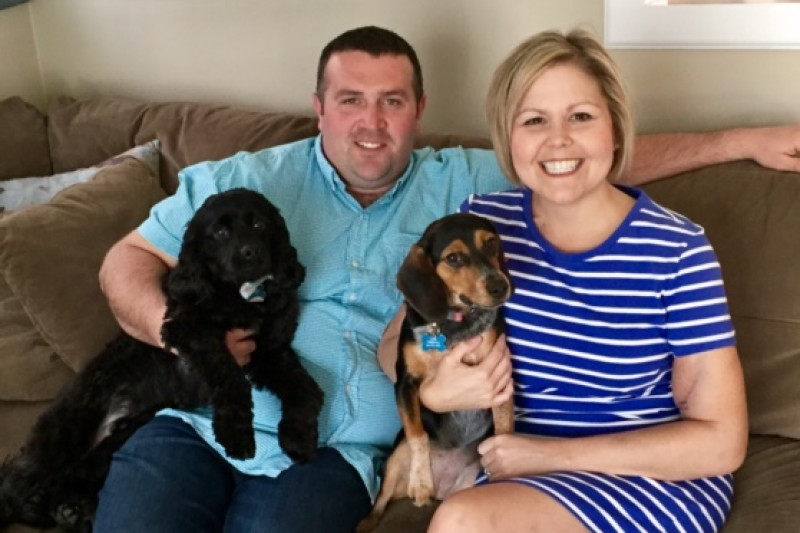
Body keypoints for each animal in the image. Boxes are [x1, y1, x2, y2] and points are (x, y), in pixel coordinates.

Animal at [0, 188, 324, 533]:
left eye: (260, 224)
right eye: (220, 233)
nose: (251, 252)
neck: (239, 298)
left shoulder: (269, 352)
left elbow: (305, 389)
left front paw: (299, 437)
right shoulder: (188, 329)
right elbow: (231, 377)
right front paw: (235, 432)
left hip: (117, 440)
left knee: (72, 477)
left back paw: (71, 509)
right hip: (66, 427)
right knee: (17, 482)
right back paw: (39, 504)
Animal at [357, 213, 515, 533]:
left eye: (492, 244)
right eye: (453, 258)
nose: (500, 286)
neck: (455, 323)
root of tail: (443, 489)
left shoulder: (499, 377)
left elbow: (504, 426)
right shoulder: (405, 385)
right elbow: (418, 436)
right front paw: (421, 483)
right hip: (395, 459)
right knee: (379, 502)